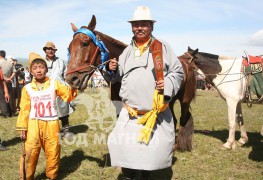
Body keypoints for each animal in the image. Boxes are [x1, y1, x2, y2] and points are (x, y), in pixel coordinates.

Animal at [65, 15, 197, 150]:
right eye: (69, 48)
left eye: (85, 43)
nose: (71, 78)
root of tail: (187, 64)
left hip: (184, 101)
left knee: (182, 119)